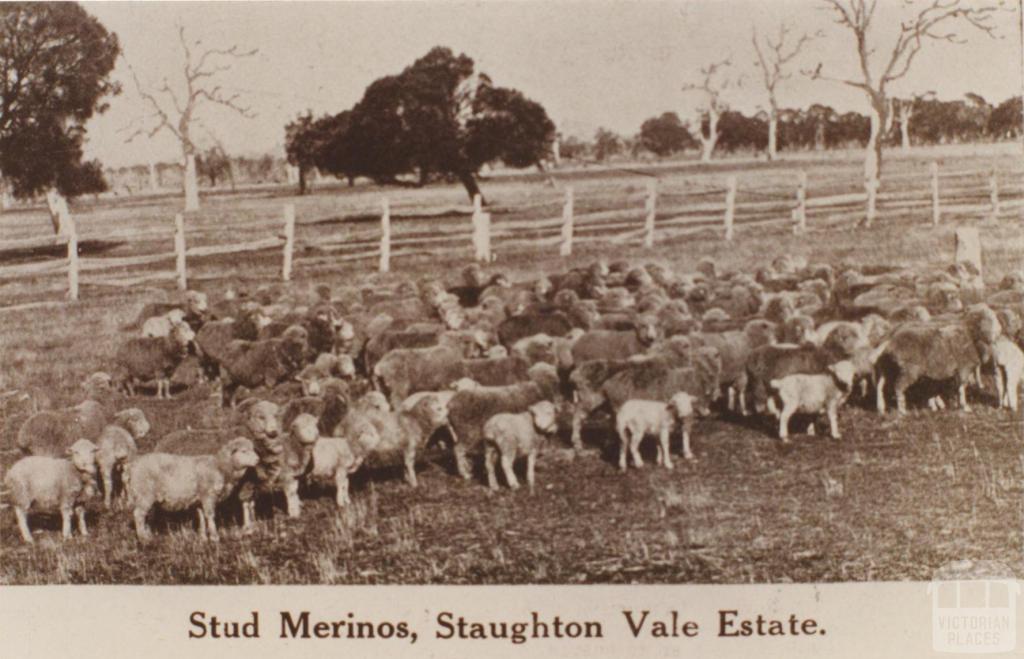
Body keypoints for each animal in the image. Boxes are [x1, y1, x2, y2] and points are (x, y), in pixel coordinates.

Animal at [125, 437, 260, 540]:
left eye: (253, 449)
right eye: (244, 451)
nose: (257, 460)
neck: (221, 466)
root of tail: (133, 466)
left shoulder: (199, 499)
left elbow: (201, 516)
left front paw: (203, 536)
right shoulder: (208, 495)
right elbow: (210, 515)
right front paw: (215, 536)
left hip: (145, 495)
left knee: (144, 515)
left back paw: (148, 534)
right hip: (145, 493)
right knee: (138, 514)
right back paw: (143, 538)